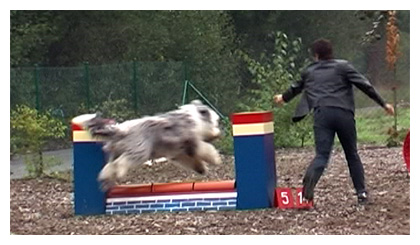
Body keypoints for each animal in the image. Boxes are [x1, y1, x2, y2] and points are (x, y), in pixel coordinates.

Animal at [72, 99, 223, 189]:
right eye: (215, 122)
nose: (218, 132)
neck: (194, 118)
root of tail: (122, 130)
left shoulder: (179, 153)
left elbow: (192, 160)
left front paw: (201, 169)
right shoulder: (192, 141)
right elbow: (206, 149)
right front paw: (215, 159)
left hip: (116, 152)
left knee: (109, 166)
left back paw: (105, 177)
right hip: (139, 151)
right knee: (121, 163)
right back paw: (119, 172)